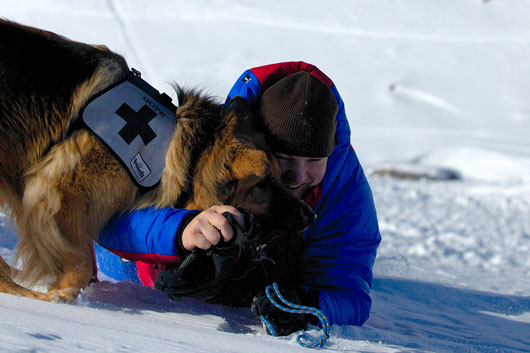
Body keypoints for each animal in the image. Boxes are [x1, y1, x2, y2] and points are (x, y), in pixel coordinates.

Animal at [0, 20, 314, 300]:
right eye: (264, 183)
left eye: (281, 176)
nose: (312, 215)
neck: (186, 151)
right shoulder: (58, 193)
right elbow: (79, 264)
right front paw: (59, 296)